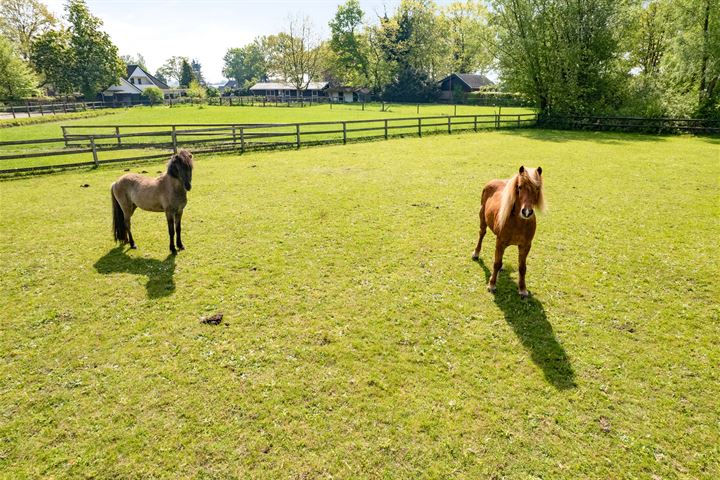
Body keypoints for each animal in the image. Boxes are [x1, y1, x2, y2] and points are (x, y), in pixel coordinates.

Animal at [470, 167, 544, 298]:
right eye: (519, 187)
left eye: (537, 188)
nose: (526, 212)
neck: (518, 223)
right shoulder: (500, 242)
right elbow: (496, 263)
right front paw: (492, 285)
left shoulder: (525, 246)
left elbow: (522, 267)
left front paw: (523, 289)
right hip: (482, 220)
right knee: (481, 234)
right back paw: (476, 253)